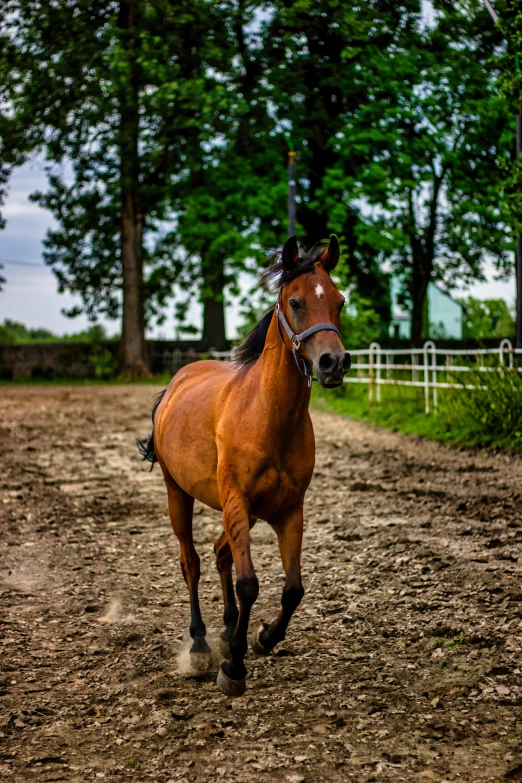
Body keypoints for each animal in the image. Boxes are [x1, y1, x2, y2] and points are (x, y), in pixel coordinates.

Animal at [137, 234, 350, 700]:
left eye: (339, 301)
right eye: (295, 302)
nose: (333, 363)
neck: (268, 415)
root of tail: (176, 382)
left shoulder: (290, 510)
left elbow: (292, 589)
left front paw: (263, 637)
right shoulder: (236, 501)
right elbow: (249, 582)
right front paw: (233, 667)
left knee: (220, 555)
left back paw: (230, 627)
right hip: (178, 495)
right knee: (193, 562)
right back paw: (201, 645)